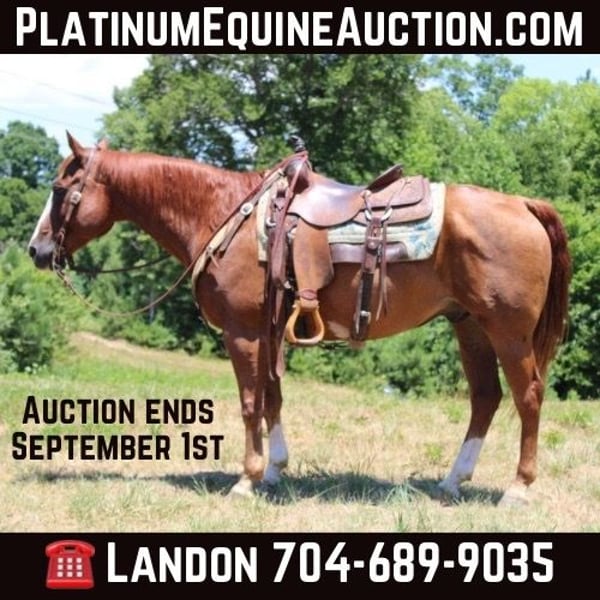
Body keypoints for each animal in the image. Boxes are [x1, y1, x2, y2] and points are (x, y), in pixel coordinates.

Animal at [28, 132, 571, 506]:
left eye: (58, 188)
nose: (36, 249)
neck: (224, 215)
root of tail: (525, 204)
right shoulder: (268, 331)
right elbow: (273, 397)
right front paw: (274, 470)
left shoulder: (243, 332)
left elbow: (250, 402)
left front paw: (246, 479)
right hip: (470, 325)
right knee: (486, 398)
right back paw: (453, 480)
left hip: (508, 331)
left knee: (527, 396)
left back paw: (518, 488)